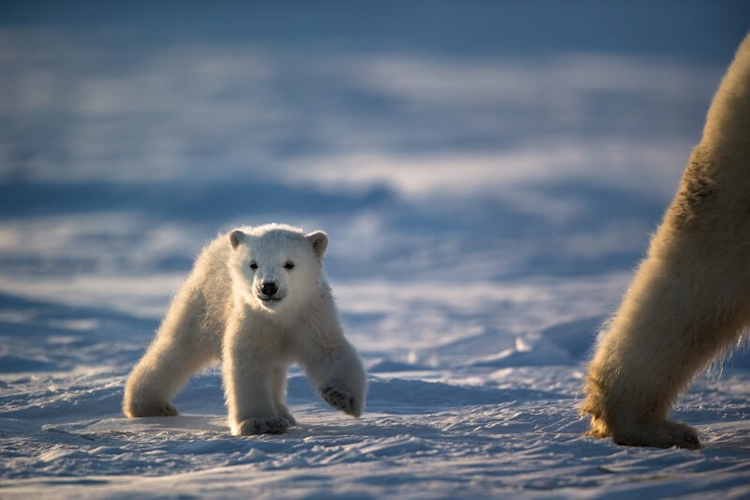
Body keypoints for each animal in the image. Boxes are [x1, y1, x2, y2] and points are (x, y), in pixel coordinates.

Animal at [122, 223, 367, 435]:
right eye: (253, 264)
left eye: (289, 264)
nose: (268, 287)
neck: (278, 314)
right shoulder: (251, 318)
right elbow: (249, 363)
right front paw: (261, 422)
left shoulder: (311, 315)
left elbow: (329, 349)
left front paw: (341, 397)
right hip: (204, 305)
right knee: (178, 349)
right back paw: (148, 405)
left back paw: (284, 414)